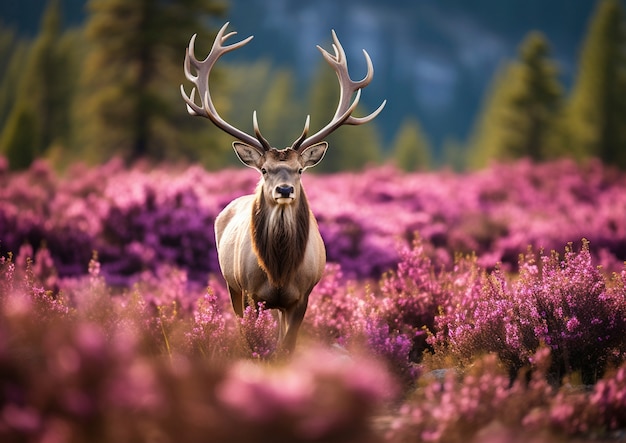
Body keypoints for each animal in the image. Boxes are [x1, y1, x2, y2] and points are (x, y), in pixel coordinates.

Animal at [180, 22, 382, 354]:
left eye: (300, 170)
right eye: (264, 170)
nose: (285, 190)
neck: (278, 272)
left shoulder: (302, 297)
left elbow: (285, 347)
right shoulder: (250, 293)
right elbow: (252, 342)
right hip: (231, 284)